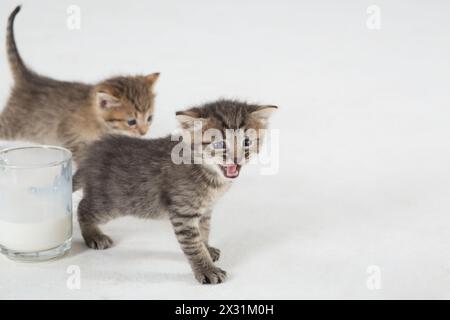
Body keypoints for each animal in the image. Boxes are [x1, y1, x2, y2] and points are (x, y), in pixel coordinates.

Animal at [0, 6, 160, 162]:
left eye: (149, 118)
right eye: (131, 122)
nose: (144, 132)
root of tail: (29, 78)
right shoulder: (67, 133)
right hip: (13, 124)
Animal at [73, 99, 276, 284]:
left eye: (247, 142)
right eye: (219, 145)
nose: (237, 159)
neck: (209, 175)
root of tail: (92, 153)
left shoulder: (205, 211)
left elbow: (204, 232)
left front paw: (207, 249)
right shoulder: (183, 213)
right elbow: (193, 245)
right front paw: (207, 269)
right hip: (110, 202)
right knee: (82, 208)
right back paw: (94, 235)